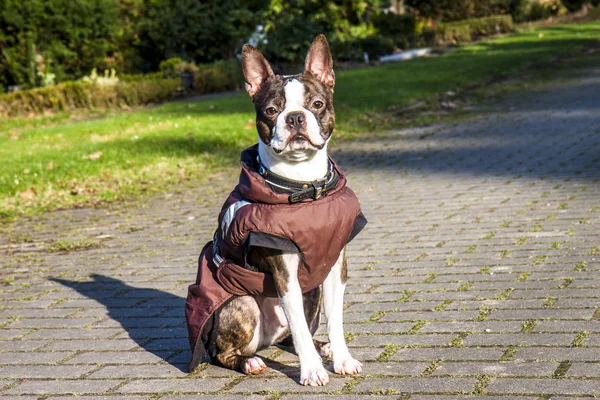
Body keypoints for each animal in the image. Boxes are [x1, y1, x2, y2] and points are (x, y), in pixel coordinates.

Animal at [185, 36, 368, 386]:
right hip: (242, 302)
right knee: (225, 353)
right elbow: (298, 328)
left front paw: (342, 359)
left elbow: (335, 321)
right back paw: (250, 362)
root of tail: (264, 341)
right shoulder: (285, 275)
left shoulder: (334, 269)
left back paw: (321, 348)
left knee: (293, 337)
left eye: (317, 104)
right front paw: (312, 372)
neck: (305, 190)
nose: (295, 117)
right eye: (271, 110)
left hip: (312, 293)